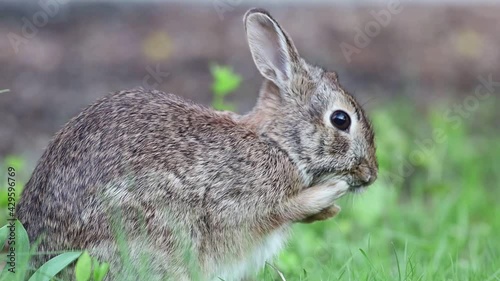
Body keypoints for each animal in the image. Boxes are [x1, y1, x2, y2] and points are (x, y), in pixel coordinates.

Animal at [15, 7, 376, 280]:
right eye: (340, 120)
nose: (370, 174)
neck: (277, 144)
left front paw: (329, 209)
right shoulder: (239, 202)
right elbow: (280, 210)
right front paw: (330, 194)